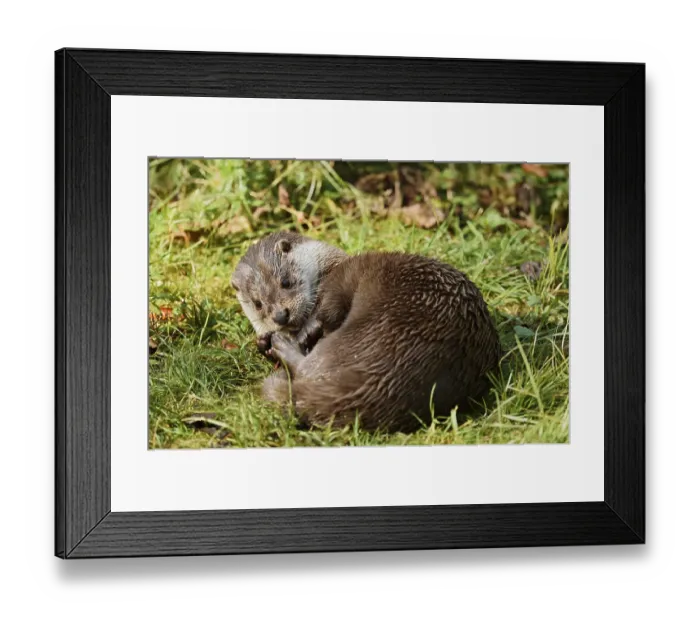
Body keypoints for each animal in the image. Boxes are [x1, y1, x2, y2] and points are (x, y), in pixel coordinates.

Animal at [232, 234, 502, 433]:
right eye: (257, 304)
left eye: (285, 282)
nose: (280, 316)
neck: (326, 269)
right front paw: (264, 341)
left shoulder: (335, 283)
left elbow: (326, 310)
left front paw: (299, 333)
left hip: (359, 336)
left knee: (307, 366)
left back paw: (282, 344)